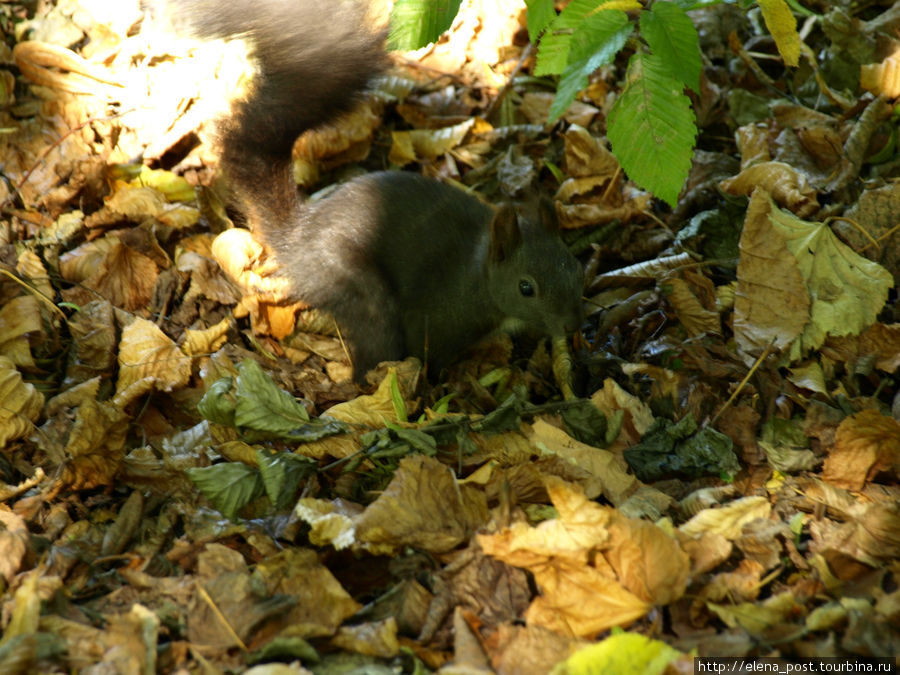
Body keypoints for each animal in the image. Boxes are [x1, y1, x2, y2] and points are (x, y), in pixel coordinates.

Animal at [168, 0, 584, 380]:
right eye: (526, 287)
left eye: (575, 267)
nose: (573, 325)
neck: (476, 271)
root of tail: (297, 238)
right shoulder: (435, 317)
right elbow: (427, 356)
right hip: (356, 286)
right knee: (373, 348)